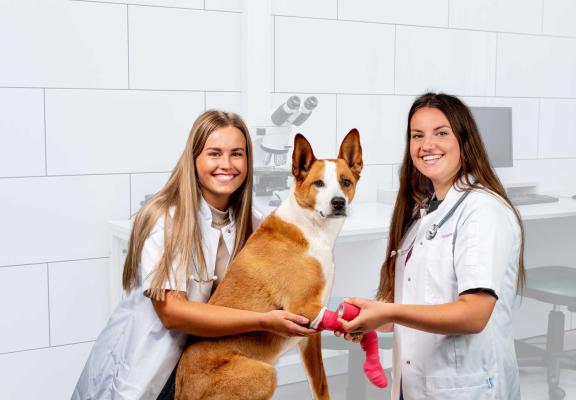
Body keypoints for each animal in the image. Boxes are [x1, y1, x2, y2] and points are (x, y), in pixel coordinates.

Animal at [178, 130, 362, 398]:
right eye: (319, 184)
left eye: (345, 182)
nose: (338, 202)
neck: (311, 227)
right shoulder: (303, 308)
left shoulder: (309, 336)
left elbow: (320, 384)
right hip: (266, 374)